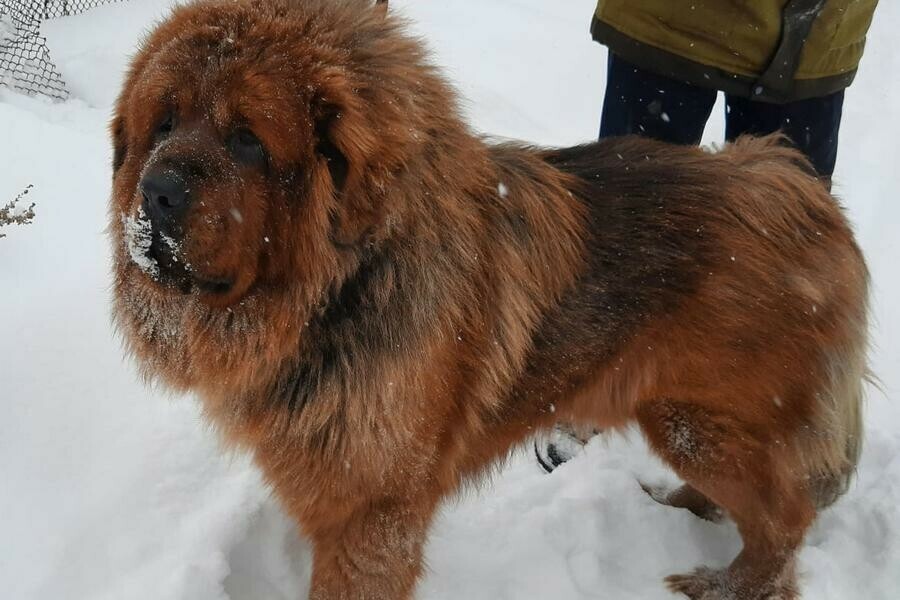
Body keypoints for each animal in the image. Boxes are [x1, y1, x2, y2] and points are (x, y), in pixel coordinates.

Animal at [109, 2, 868, 596]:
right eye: (164, 123)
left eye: (248, 141)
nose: (158, 191)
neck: (347, 286)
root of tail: (804, 194)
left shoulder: (375, 514)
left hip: (700, 423)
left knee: (786, 518)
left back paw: (726, 583)